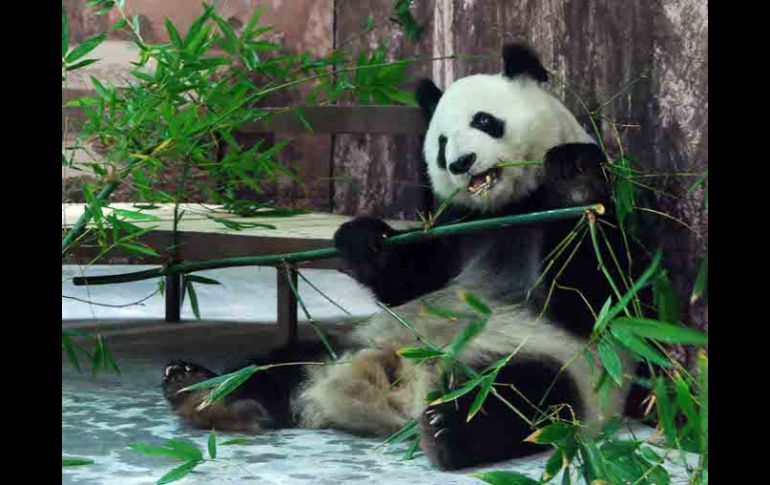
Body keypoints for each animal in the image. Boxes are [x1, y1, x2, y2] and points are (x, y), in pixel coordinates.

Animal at [162, 44, 640, 468]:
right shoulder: (456, 227)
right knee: (277, 366)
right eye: (442, 144)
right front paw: (361, 239)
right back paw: (198, 391)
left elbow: (602, 295)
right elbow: (412, 277)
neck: (507, 208)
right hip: (345, 344)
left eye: (485, 120)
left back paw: (448, 429)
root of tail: (401, 389)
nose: (462, 162)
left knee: (523, 398)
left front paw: (576, 179)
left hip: (548, 362)